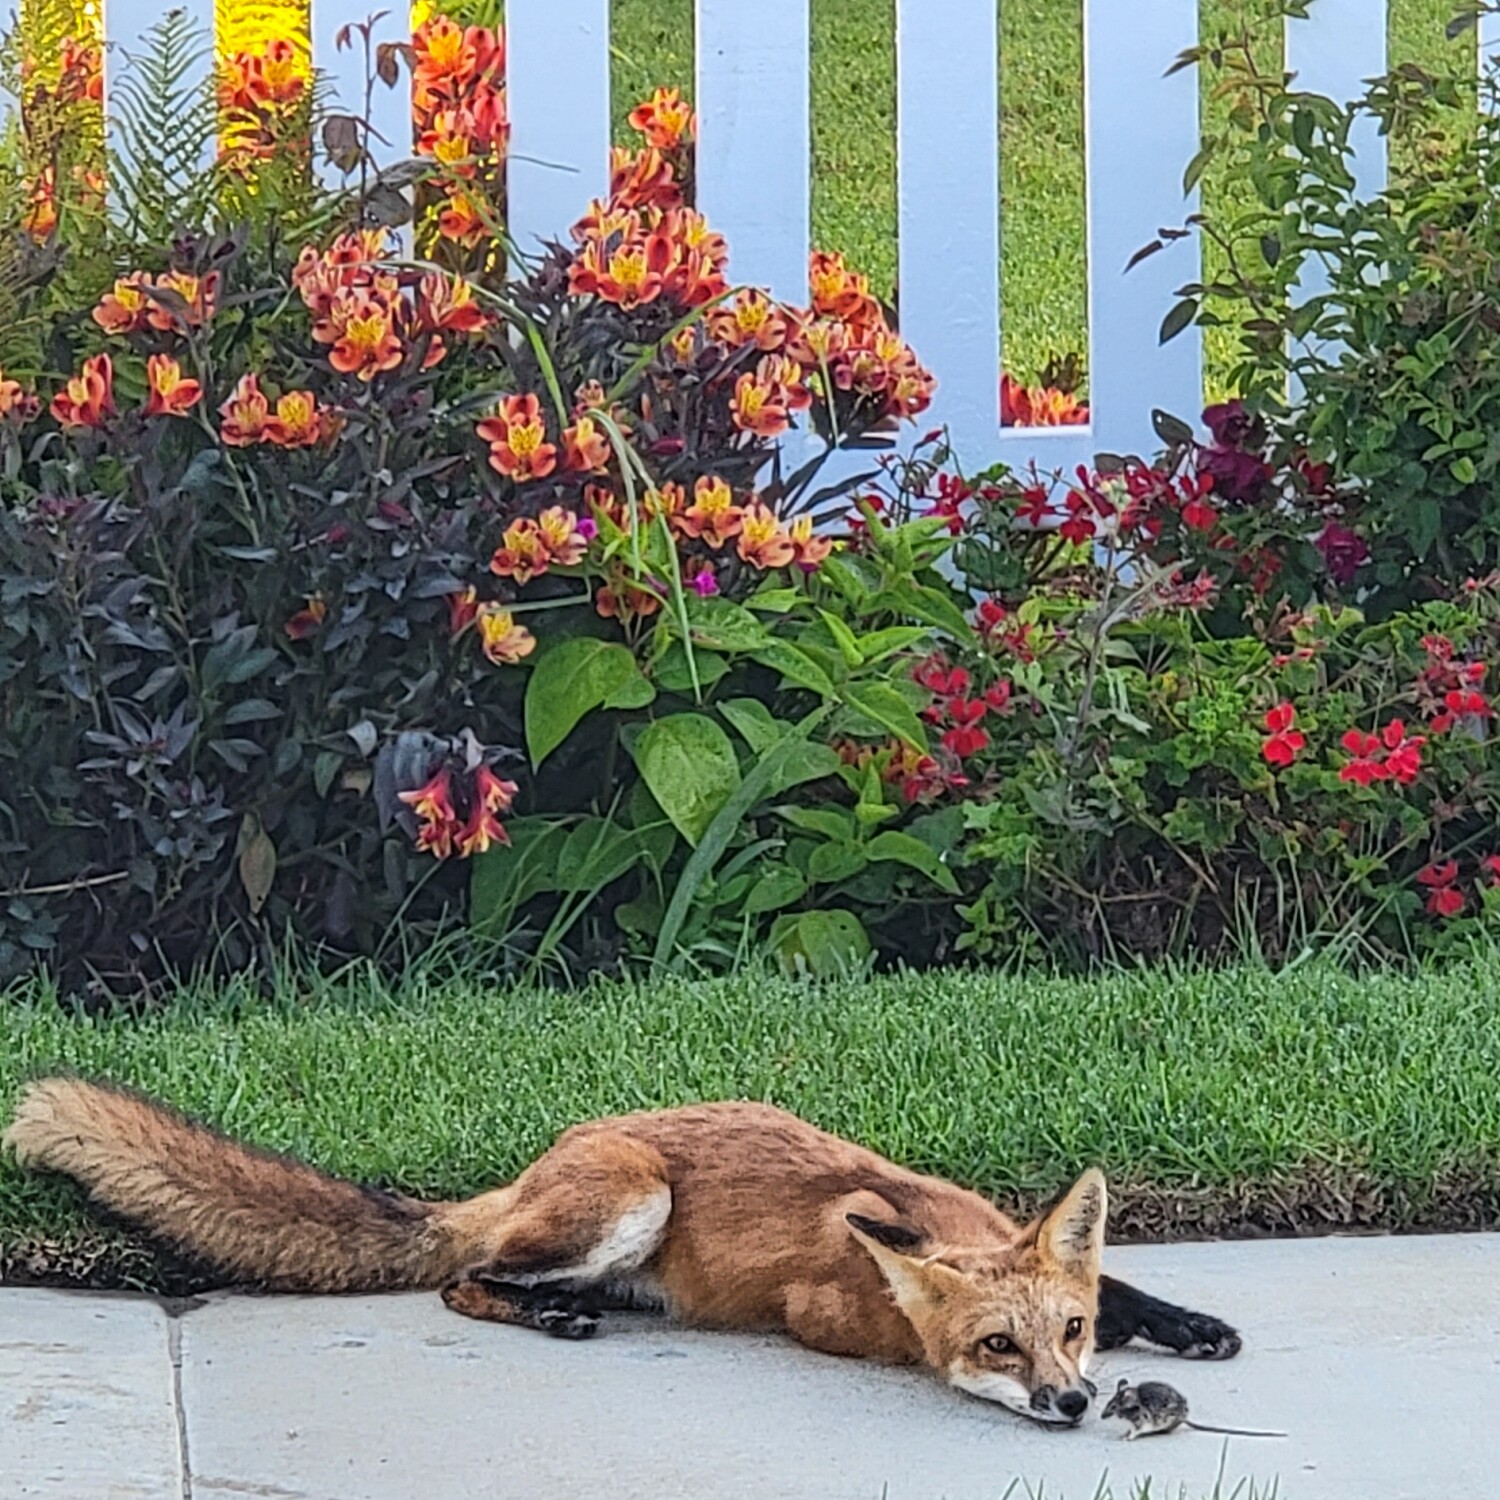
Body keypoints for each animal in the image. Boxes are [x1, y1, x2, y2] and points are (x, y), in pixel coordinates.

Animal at [3, 1079, 1240, 1425]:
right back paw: (549, 1315)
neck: (932, 1226)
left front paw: (1185, 1330)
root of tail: (542, 1159)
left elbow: (1126, 1284)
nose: (1071, 1403)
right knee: (464, 1282)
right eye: (995, 1348)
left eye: (1066, 1331)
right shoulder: (826, 1314)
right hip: (631, 1202)